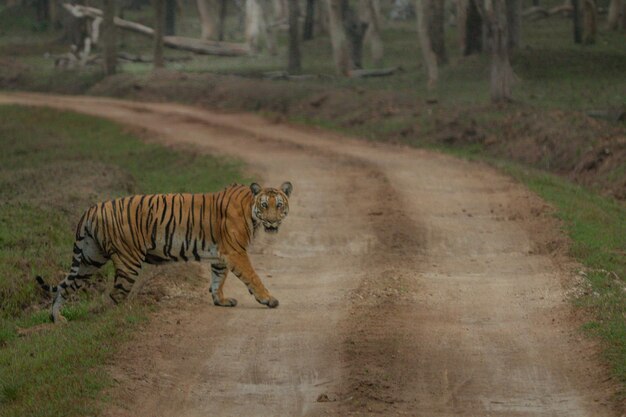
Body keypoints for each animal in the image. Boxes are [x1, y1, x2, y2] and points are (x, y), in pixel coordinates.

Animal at [36, 182, 292, 322]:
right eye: (264, 205)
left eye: (279, 205)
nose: (272, 221)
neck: (250, 209)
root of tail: (91, 208)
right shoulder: (235, 252)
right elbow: (253, 277)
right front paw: (269, 299)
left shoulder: (221, 255)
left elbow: (217, 279)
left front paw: (220, 300)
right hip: (128, 261)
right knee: (115, 295)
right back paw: (127, 313)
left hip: (89, 259)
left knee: (64, 288)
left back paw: (58, 319)